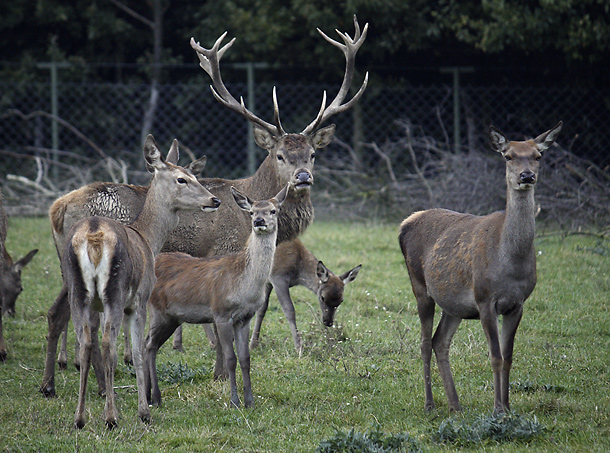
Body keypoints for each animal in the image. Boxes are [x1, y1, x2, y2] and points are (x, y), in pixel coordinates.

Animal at [59, 134, 220, 428]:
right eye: (182, 179)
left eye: (195, 175)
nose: (214, 200)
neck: (148, 239)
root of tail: (93, 236)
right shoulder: (140, 299)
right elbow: (136, 351)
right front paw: (144, 410)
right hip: (115, 290)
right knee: (108, 344)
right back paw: (112, 417)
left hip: (77, 290)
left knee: (86, 342)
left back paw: (80, 417)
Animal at [144, 184, 286, 406]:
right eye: (252, 211)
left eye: (273, 210)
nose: (259, 221)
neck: (243, 286)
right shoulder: (221, 313)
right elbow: (230, 358)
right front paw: (234, 401)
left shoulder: (245, 318)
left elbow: (246, 359)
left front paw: (250, 401)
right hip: (158, 310)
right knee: (150, 346)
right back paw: (156, 397)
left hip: (172, 317)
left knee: (146, 344)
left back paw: (148, 394)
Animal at [400, 121, 560, 414]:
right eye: (508, 156)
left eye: (538, 155)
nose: (527, 176)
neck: (510, 264)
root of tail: (407, 221)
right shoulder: (486, 299)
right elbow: (495, 356)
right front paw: (497, 410)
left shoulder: (518, 303)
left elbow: (508, 357)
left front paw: (507, 407)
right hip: (420, 287)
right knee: (425, 342)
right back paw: (430, 403)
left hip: (455, 304)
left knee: (440, 341)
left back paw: (455, 404)